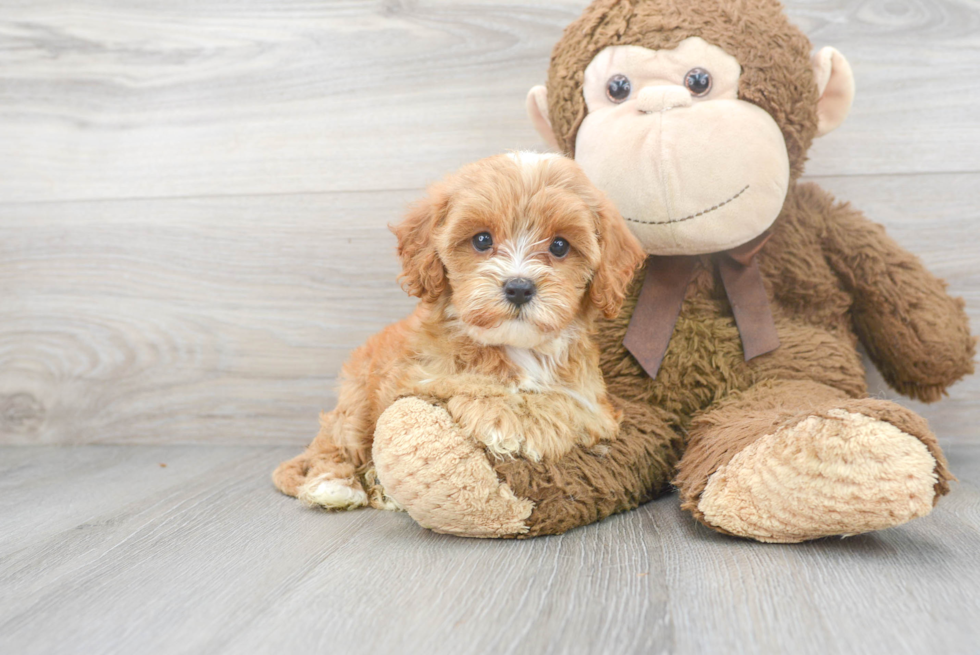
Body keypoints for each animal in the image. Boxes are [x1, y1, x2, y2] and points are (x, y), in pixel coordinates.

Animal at [274, 154, 644, 512]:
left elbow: (558, 403)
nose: (519, 287)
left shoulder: (594, 406)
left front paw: (505, 417)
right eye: (482, 239)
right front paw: (497, 412)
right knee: (337, 445)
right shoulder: (416, 378)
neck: (515, 347)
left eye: (559, 246)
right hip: (356, 400)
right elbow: (461, 387)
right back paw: (333, 485)